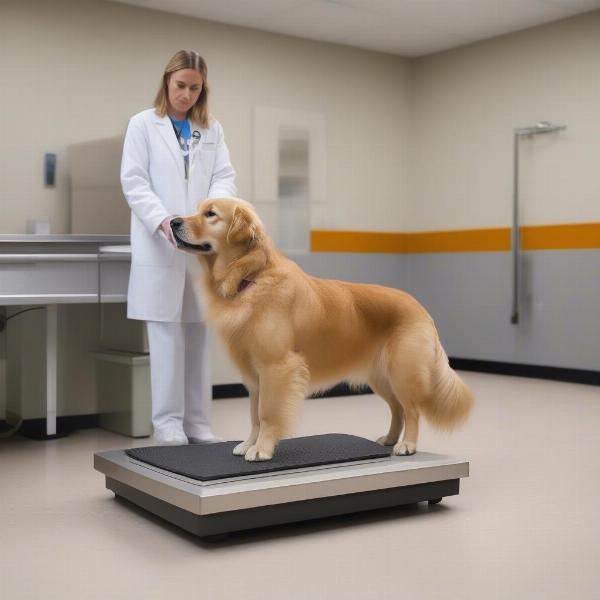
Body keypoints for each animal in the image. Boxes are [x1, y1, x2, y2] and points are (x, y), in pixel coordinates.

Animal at [170, 199, 474, 462]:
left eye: (210, 214)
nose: (172, 222)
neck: (251, 277)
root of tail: (421, 308)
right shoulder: (254, 375)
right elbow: (254, 415)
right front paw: (249, 443)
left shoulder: (276, 367)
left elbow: (267, 413)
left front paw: (262, 449)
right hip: (381, 377)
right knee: (397, 408)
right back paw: (389, 439)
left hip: (403, 372)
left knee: (412, 410)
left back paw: (407, 444)